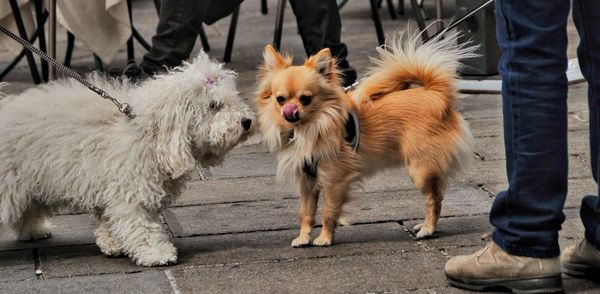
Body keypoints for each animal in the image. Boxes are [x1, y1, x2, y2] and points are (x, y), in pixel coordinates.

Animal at [0, 52, 255, 266]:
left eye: (234, 98)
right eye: (214, 105)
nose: (247, 121)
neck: (147, 131)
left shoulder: (108, 189)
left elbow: (109, 219)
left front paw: (112, 243)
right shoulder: (130, 191)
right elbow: (141, 225)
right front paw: (156, 253)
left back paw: (33, 231)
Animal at [255, 31, 476, 246]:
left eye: (305, 99)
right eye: (280, 99)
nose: (289, 111)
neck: (309, 128)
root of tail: (436, 94)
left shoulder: (335, 179)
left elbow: (328, 212)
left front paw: (325, 239)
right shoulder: (307, 181)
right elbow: (306, 213)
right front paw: (303, 238)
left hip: (421, 169)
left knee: (433, 199)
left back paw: (428, 229)